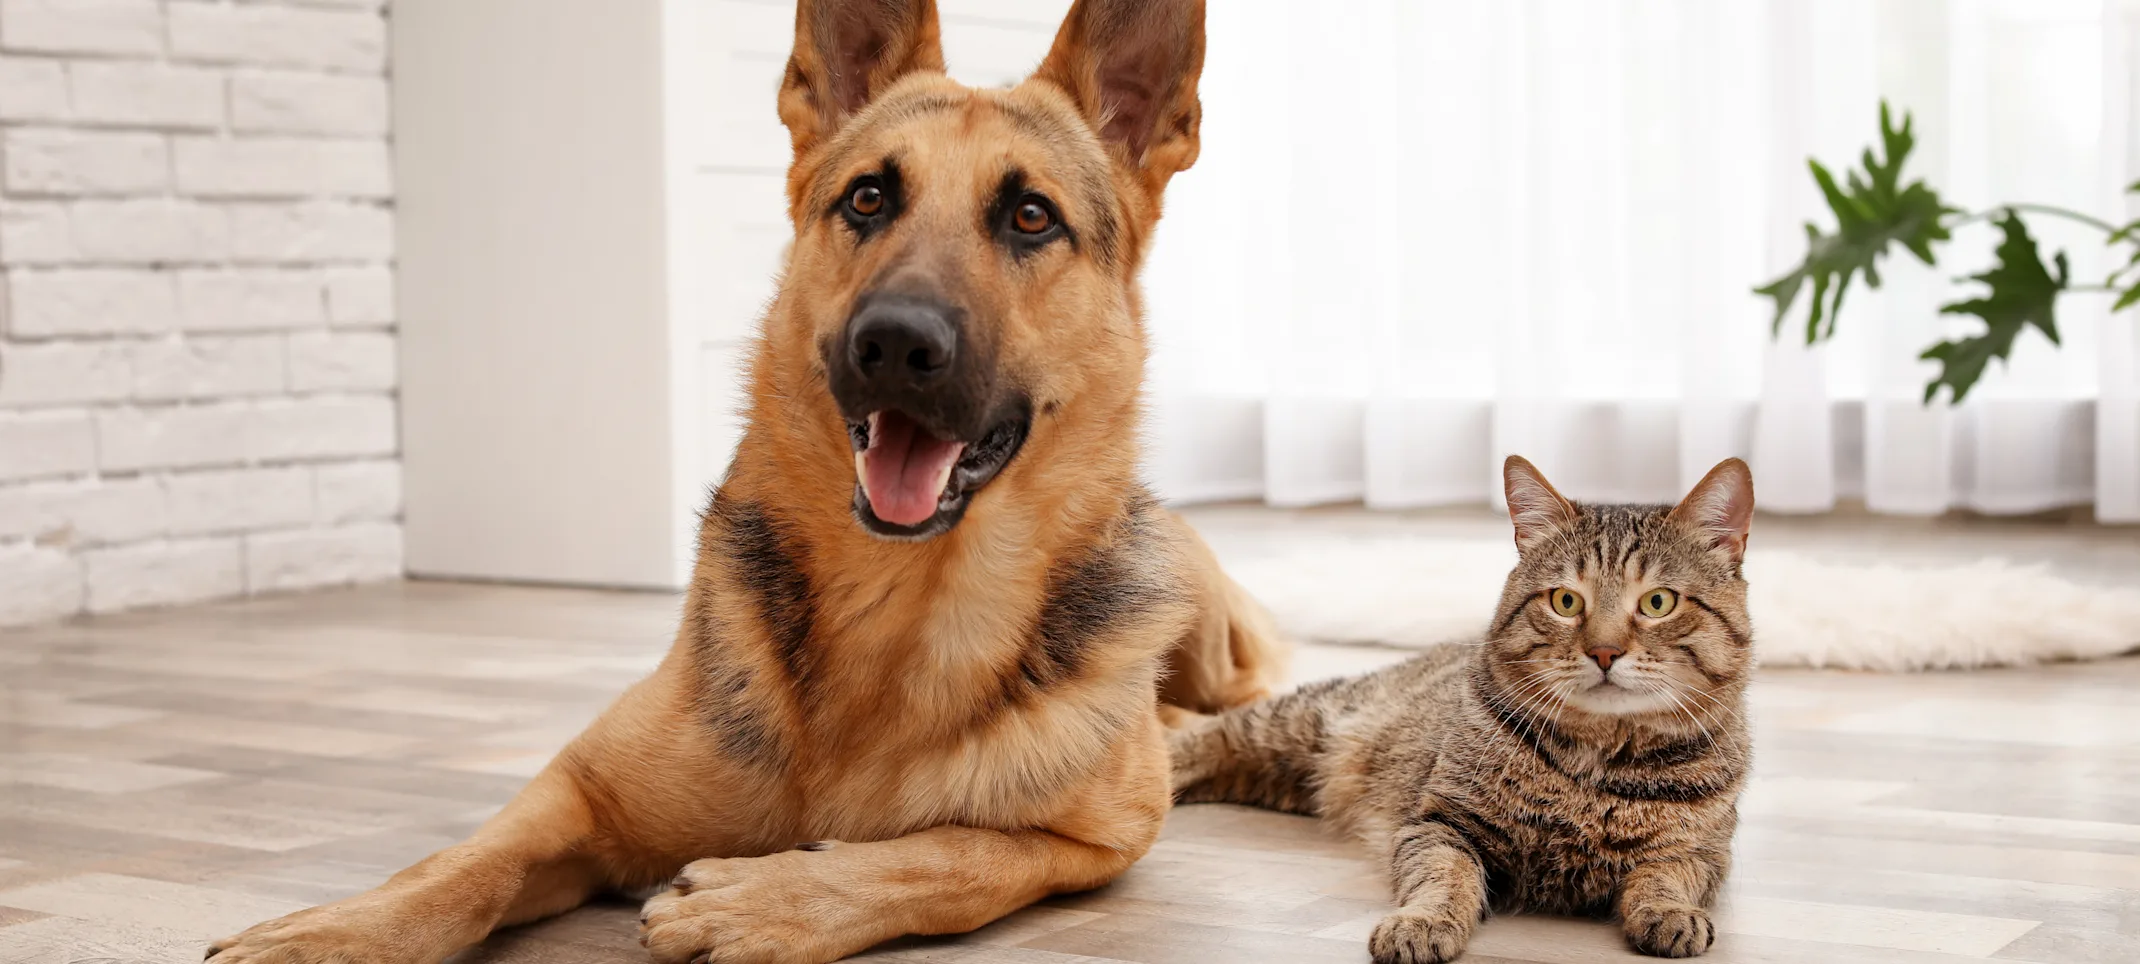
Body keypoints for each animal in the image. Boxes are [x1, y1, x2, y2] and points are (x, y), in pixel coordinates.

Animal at [212, 1, 1284, 964]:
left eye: (1030, 217)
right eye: (867, 199)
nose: (895, 344)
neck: (896, 610)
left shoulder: (1093, 842)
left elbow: (949, 855)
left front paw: (772, 899)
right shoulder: (578, 790)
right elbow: (461, 865)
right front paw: (335, 930)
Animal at [1172, 456, 1754, 959]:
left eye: (1658, 602)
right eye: (1566, 601)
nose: (1605, 652)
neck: (1597, 762)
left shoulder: (1704, 853)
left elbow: (1666, 876)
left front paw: (1670, 912)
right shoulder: (1440, 823)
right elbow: (1444, 878)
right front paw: (1424, 922)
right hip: (1300, 723)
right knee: (1208, 735)